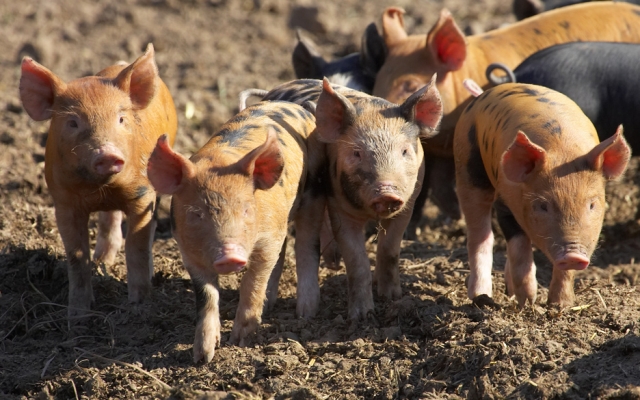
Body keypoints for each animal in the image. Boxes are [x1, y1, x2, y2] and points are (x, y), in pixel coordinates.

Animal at [19, 44, 178, 319]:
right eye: (73, 122)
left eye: (121, 119)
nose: (107, 154)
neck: (102, 188)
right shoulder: (63, 203)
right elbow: (76, 255)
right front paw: (78, 315)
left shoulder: (142, 194)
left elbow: (137, 247)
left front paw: (139, 306)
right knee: (109, 219)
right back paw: (103, 260)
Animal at [147, 101, 316, 362]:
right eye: (197, 213)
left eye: (246, 209)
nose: (229, 256)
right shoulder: (188, 252)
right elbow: (206, 296)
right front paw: (202, 356)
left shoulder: (269, 239)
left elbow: (252, 283)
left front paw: (240, 342)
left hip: (308, 196)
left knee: (303, 241)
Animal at [256, 77, 443, 320]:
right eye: (356, 153)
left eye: (404, 151)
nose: (387, 192)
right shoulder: (339, 207)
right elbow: (357, 261)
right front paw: (361, 316)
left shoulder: (407, 207)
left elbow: (389, 251)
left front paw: (391, 297)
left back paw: (334, 263)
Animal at [454, 81, 630, 307]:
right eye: (543, 205)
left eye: (592, 205)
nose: (573, 255)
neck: (564, 152)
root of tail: (481, 94)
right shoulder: (504, 204)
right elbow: (519, 250)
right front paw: (528, 302)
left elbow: (565, 271)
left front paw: (560, 305)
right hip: (467, 165)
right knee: (480, 234)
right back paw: (482, 297)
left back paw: (509, 294)